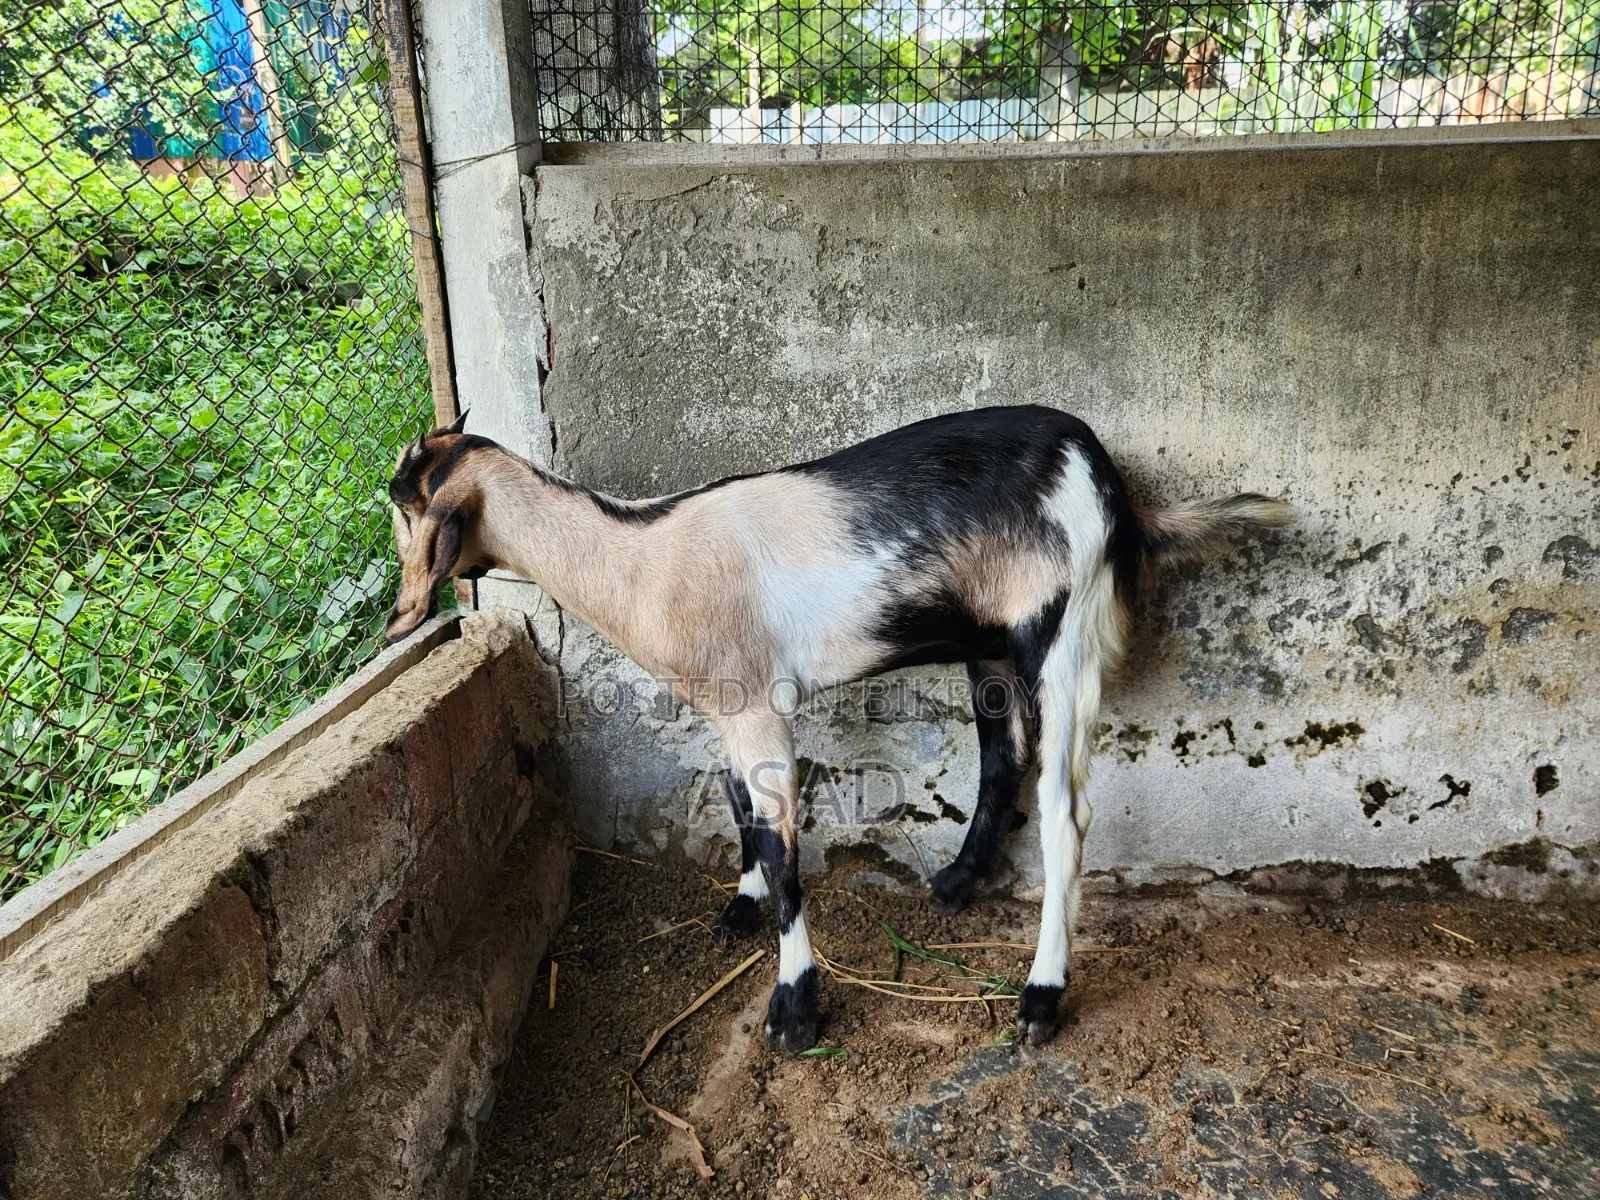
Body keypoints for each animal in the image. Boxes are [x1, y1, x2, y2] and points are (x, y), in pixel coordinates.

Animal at [386, 405, 1291, 1053]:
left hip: (1060, 632)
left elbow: (784, 846)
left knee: (1068, 813)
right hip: (990, 643)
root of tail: (1112, 482)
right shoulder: (724, 703)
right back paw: (957, 883)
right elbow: (741, 810)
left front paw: (794, 1008)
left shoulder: (758, 702)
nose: (403, 612)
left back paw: (1040, 997)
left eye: (404, 505)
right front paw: (741, 908)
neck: (640, 552)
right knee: (1004, 759)